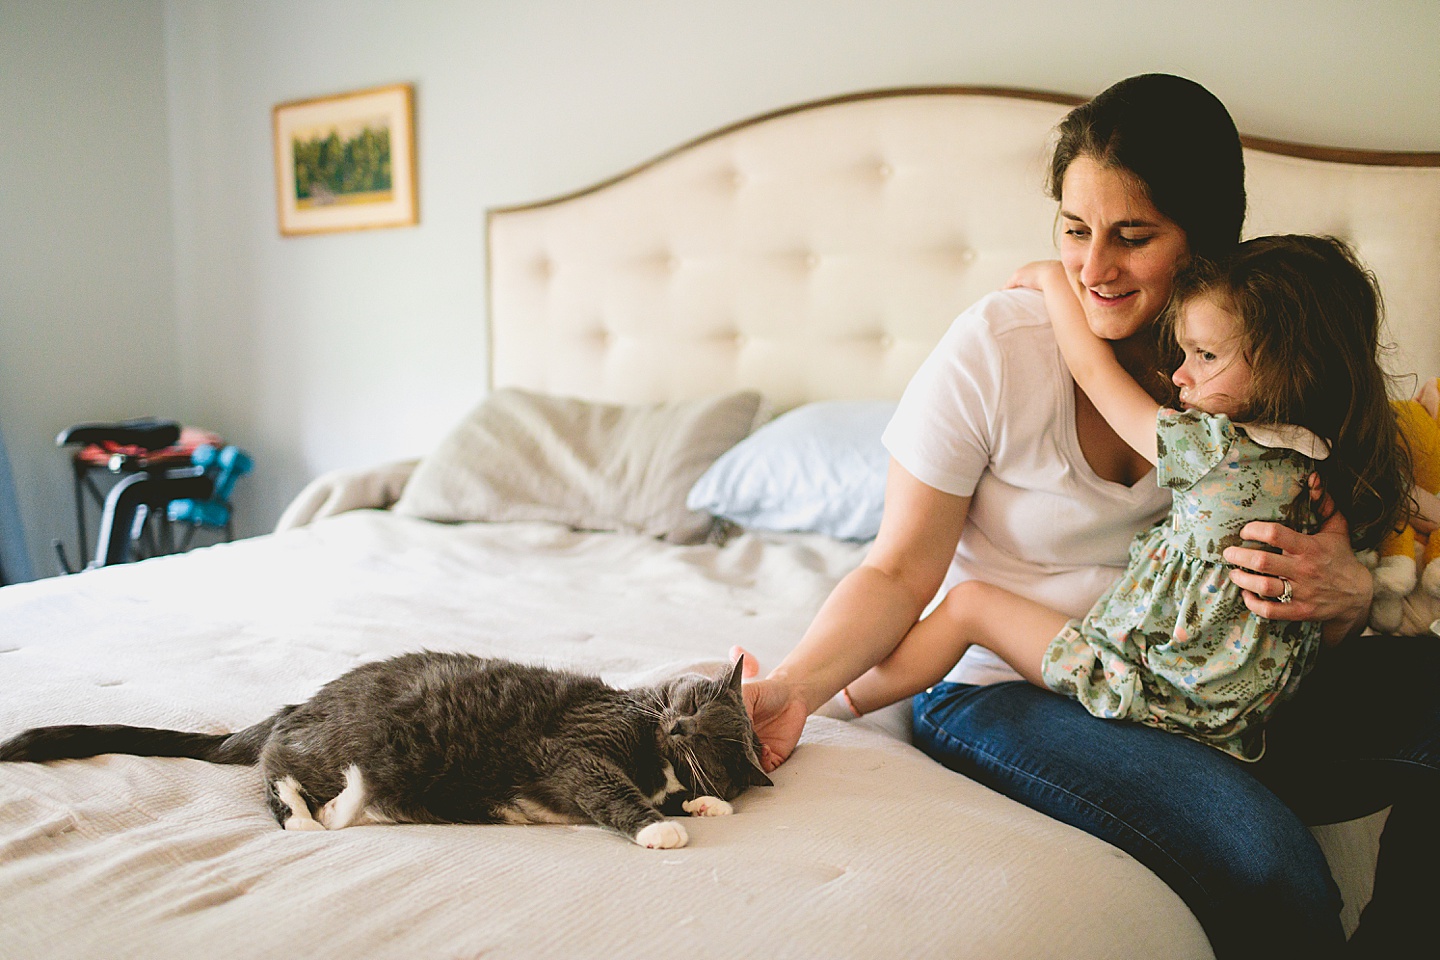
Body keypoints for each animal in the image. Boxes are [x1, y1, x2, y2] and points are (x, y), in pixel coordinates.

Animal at [0, 653, 771, 846]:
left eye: (712, 736)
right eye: (689, 699)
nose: (676, 728)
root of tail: (296, 705)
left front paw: (705, 804)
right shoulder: (572, 749)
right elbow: (615, 789)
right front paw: (662, 827)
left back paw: (345, 809)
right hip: (349, 740)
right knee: (273, 772)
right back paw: (309, 818)